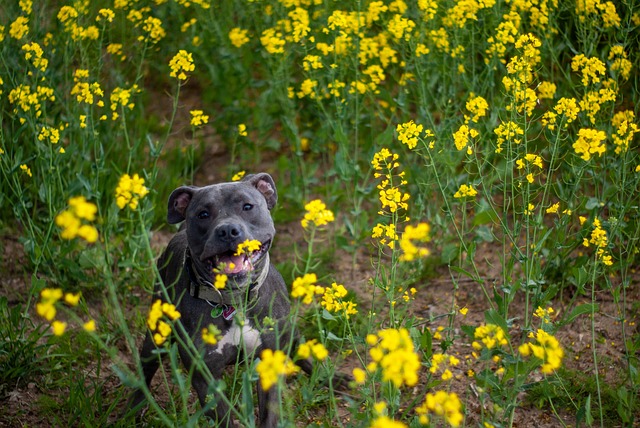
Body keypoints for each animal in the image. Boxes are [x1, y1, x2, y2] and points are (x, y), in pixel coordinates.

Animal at [125, 174, 316, 428]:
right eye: (203, 214)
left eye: (247, 206)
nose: (227, 230)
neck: (234, 302)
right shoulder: (205, 378)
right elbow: (225, 418)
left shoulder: (271, 362)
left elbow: (269, 415)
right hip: (157, 329)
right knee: (147, 366)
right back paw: (133, 408)